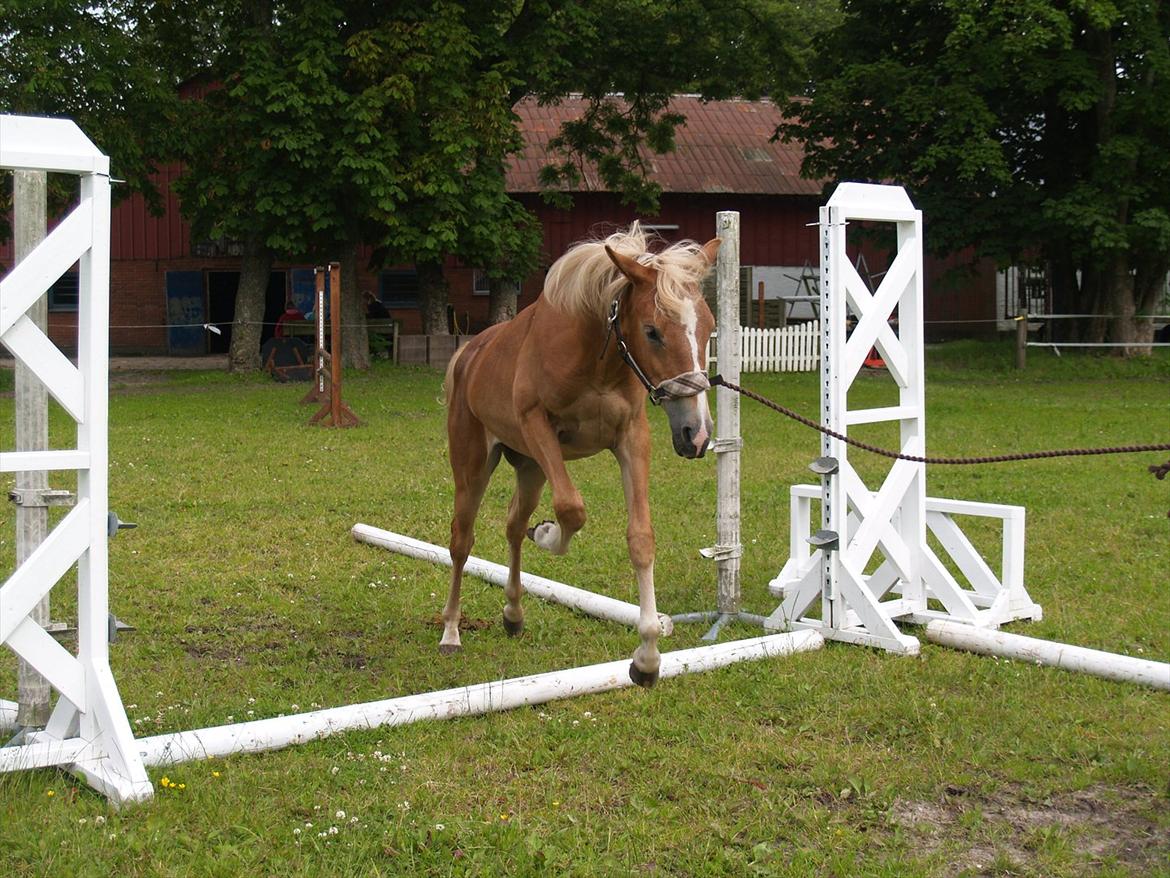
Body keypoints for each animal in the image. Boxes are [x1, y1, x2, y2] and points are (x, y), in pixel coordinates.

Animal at [440, 223, 721, 688]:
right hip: (474, 467)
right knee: (462, 541)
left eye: (710, 328)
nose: (695, 436)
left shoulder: (632, 439)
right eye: (652, 331)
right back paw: (450, 631)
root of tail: (468, 355)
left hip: (531, 468)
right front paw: (547, 534)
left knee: (513, 525)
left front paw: (647, 659)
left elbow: (640, 538)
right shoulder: (538, 426)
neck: (596, 360)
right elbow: (572, 509)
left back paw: (513, 613)